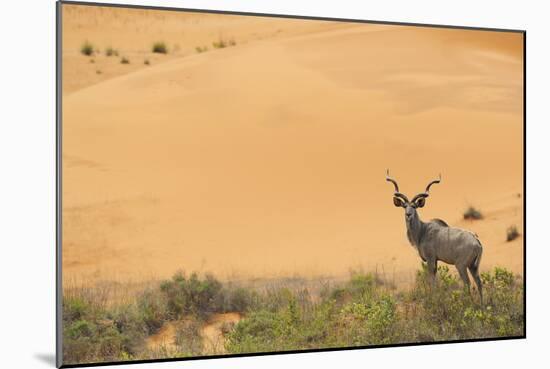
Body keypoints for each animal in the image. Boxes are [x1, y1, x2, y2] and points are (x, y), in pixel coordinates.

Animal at [386, 170, 486, 302]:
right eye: (404, 206)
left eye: (414, 206)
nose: (408, 214)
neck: (422, 231)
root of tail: (477, 242)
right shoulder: (436, 261)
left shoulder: (430, 259)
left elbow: (431, 282)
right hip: (473, 267)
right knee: (479, 282)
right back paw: (481, 304)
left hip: (461, 265)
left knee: (467, 283)